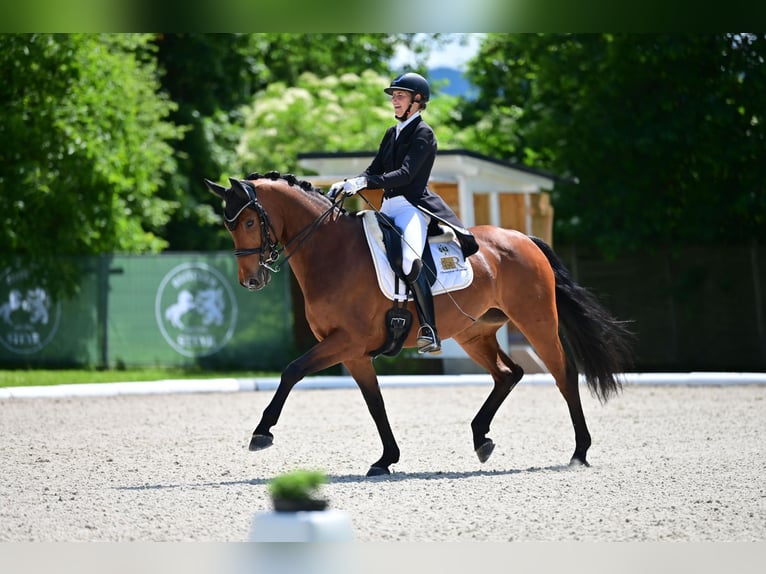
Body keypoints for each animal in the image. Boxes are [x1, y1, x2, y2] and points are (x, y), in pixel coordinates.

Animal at [206, 171, 636, 476]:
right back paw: (481, 438)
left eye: (248, 222)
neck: (331, 251)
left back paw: (579, 452)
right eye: (229, 225)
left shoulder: (346, 342)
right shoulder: (353, 352)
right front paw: (386, 459)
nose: (251, 280)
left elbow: (291, 371)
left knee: (564, 374)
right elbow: (375, 403)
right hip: (474, 331)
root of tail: (524, 238)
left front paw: (262, 433)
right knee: (508, 373)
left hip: (536, 321)